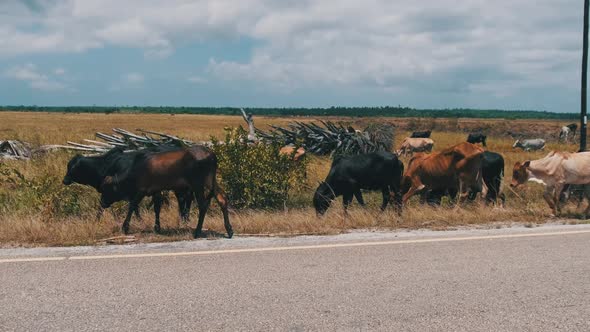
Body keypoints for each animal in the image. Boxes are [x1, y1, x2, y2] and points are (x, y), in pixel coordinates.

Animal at [62, 147, 193, 223]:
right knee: (184, 200)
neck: (106, 165)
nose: (64, 180)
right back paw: (184, 218)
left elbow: (134, 207)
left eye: (72, 168)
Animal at [100, 145, 232, 239]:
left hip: (198, 185)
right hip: (211, 182)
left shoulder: (141, 190)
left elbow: (132, 206)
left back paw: (197, 231)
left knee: (203, 205)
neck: (136, 169)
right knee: (222, 199)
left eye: (106, 189)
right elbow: (157, 208)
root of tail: (211, 154)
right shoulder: (156, 191)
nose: (102, 203)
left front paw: (125, 227)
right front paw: (157, 227)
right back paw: (229, 229)